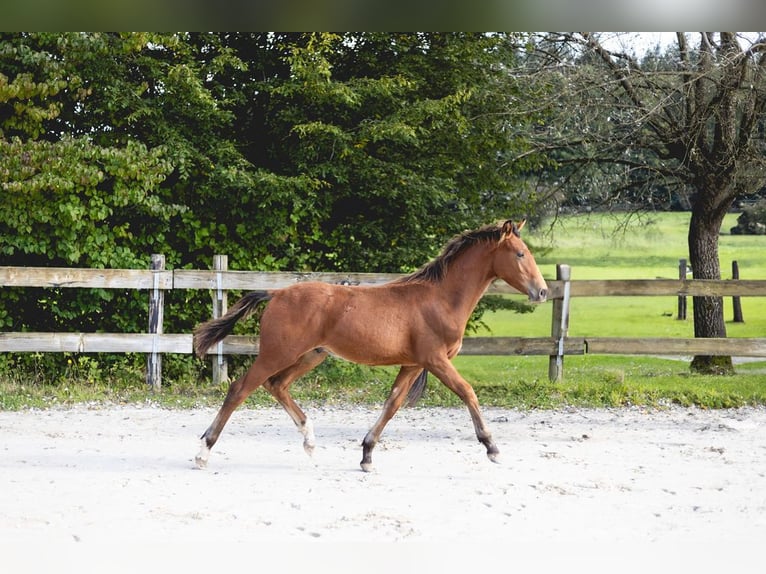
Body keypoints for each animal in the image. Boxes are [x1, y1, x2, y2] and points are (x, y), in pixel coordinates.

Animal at [195, 220, 548, 472]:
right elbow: (468, 392)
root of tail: (277, 293)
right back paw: (203, 452)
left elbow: (392, 404)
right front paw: (492, 448)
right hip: (277, 353)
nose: (542, 292)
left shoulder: (413, 363)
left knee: (277, 385)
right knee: (240, 389)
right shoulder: (435, 359)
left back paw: (310, 441)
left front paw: (366, 455)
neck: (441, 299)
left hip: (311, 356)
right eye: (520, 254)